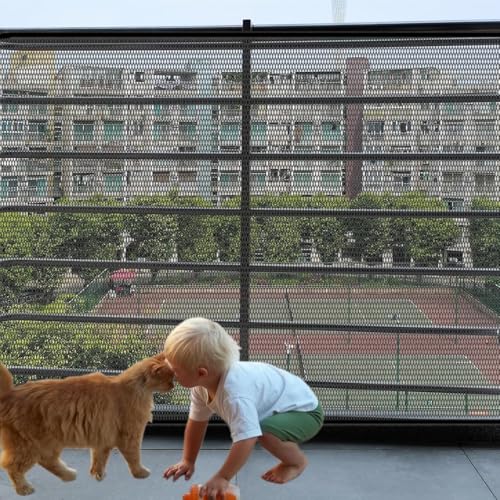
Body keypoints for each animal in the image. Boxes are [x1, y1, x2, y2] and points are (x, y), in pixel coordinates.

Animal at [0, 353, 174, 495]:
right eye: (169, 378)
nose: (173, 385)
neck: (135, 388)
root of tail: (10, 393)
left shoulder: (103, 439)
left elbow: (99, 460)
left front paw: (98, 475)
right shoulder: (130, 436)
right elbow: (134, 458)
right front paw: (140, 473)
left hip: (49, 444)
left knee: (47, 461)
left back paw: (69, 475)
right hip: (31, 446)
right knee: (11, 465)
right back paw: (24, 488)